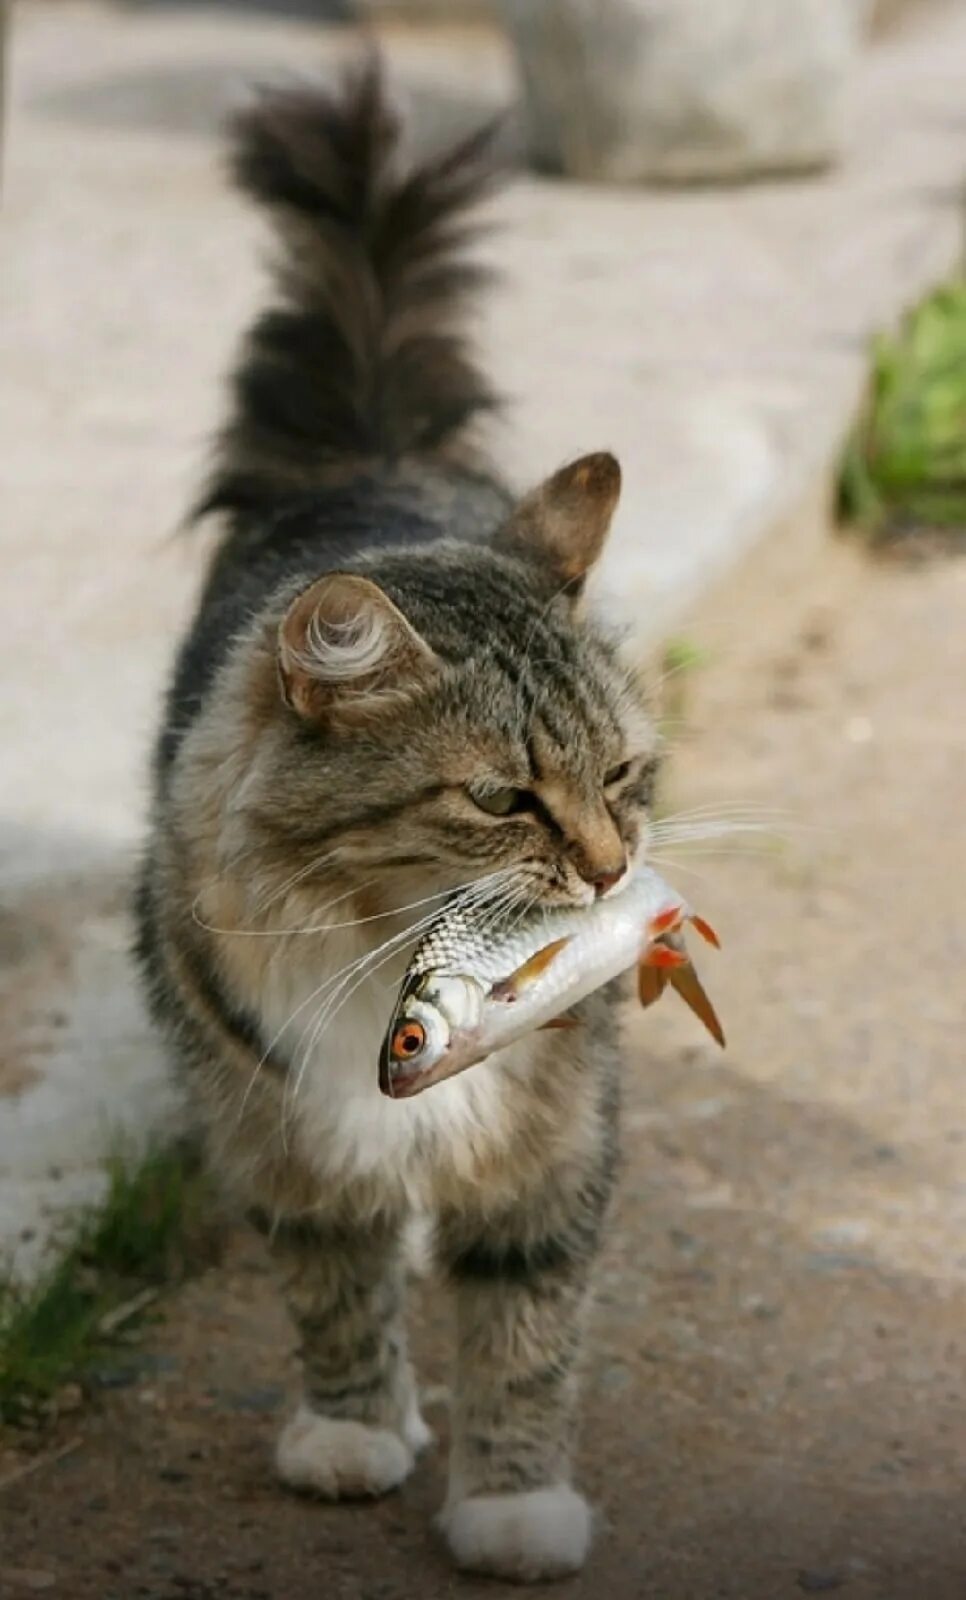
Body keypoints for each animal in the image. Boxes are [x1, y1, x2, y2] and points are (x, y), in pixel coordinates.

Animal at [135, 65, 658, 1587]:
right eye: (499, 799)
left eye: (620, 776)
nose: (611, 869)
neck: (386, 952)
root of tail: (371, 467)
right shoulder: (283, 1128)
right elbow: (333, 1285)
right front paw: (357, 1430)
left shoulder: (553, 1141)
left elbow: (528, 1329)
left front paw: (513, 1507)